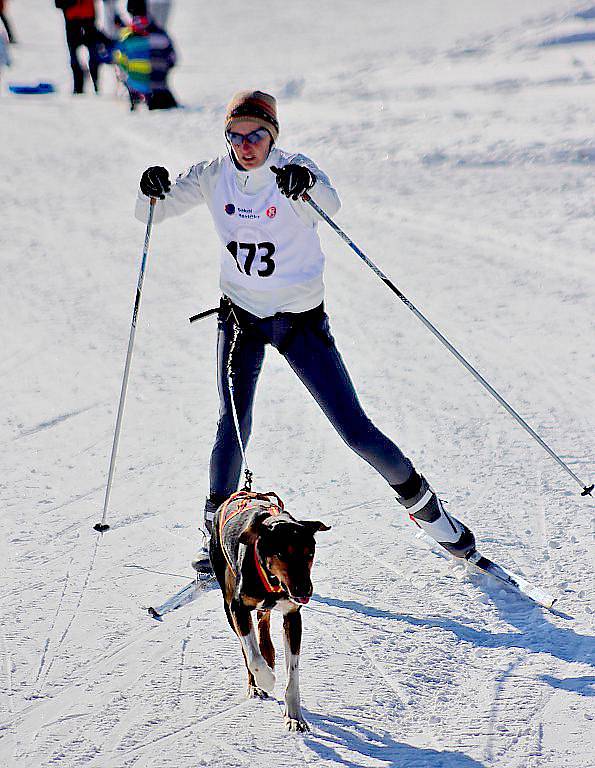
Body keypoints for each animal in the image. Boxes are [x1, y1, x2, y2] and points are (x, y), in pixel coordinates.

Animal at [210, 492, 330, 732]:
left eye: (309, 553)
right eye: (282, 553)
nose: (304, 589)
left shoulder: (292, 616)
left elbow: (293, 673)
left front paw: (294, 716)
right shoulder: (238, 608)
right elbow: (252, 656)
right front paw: (266, 680)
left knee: (263, 631)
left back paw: (269, 653)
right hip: (228, 603)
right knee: (247, 648)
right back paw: (256, 683)